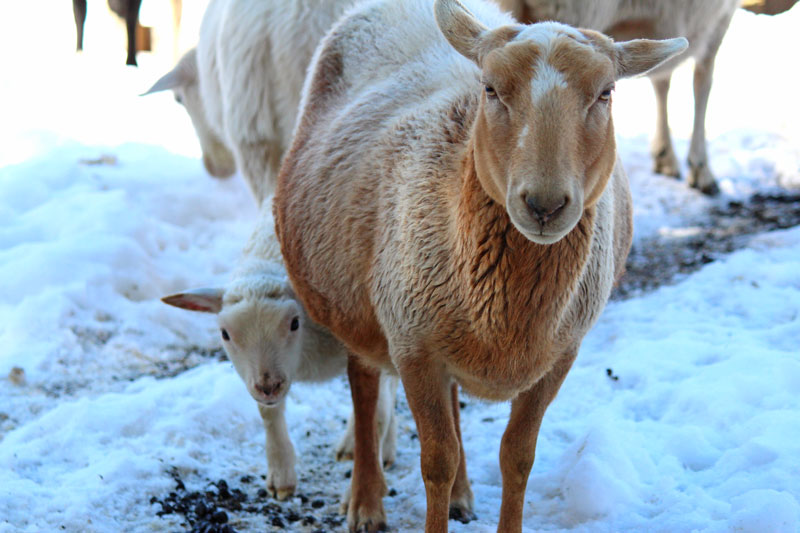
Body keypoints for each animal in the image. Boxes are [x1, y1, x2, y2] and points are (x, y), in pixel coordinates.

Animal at [162, 201, 400, 498]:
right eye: (225, 334)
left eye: (294, 323)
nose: (269, 386)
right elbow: (268, 413)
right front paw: (281, 475)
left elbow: (378, 411)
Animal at [272, 0, 684, 528]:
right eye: (490, 88)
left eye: (606, 92)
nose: (544, 205)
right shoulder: (413, 346)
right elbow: (436, 460)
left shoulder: (558, 356)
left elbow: (518, 456)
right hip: (353, 300)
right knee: (363, 388)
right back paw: (366, 501)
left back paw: (461, 495)